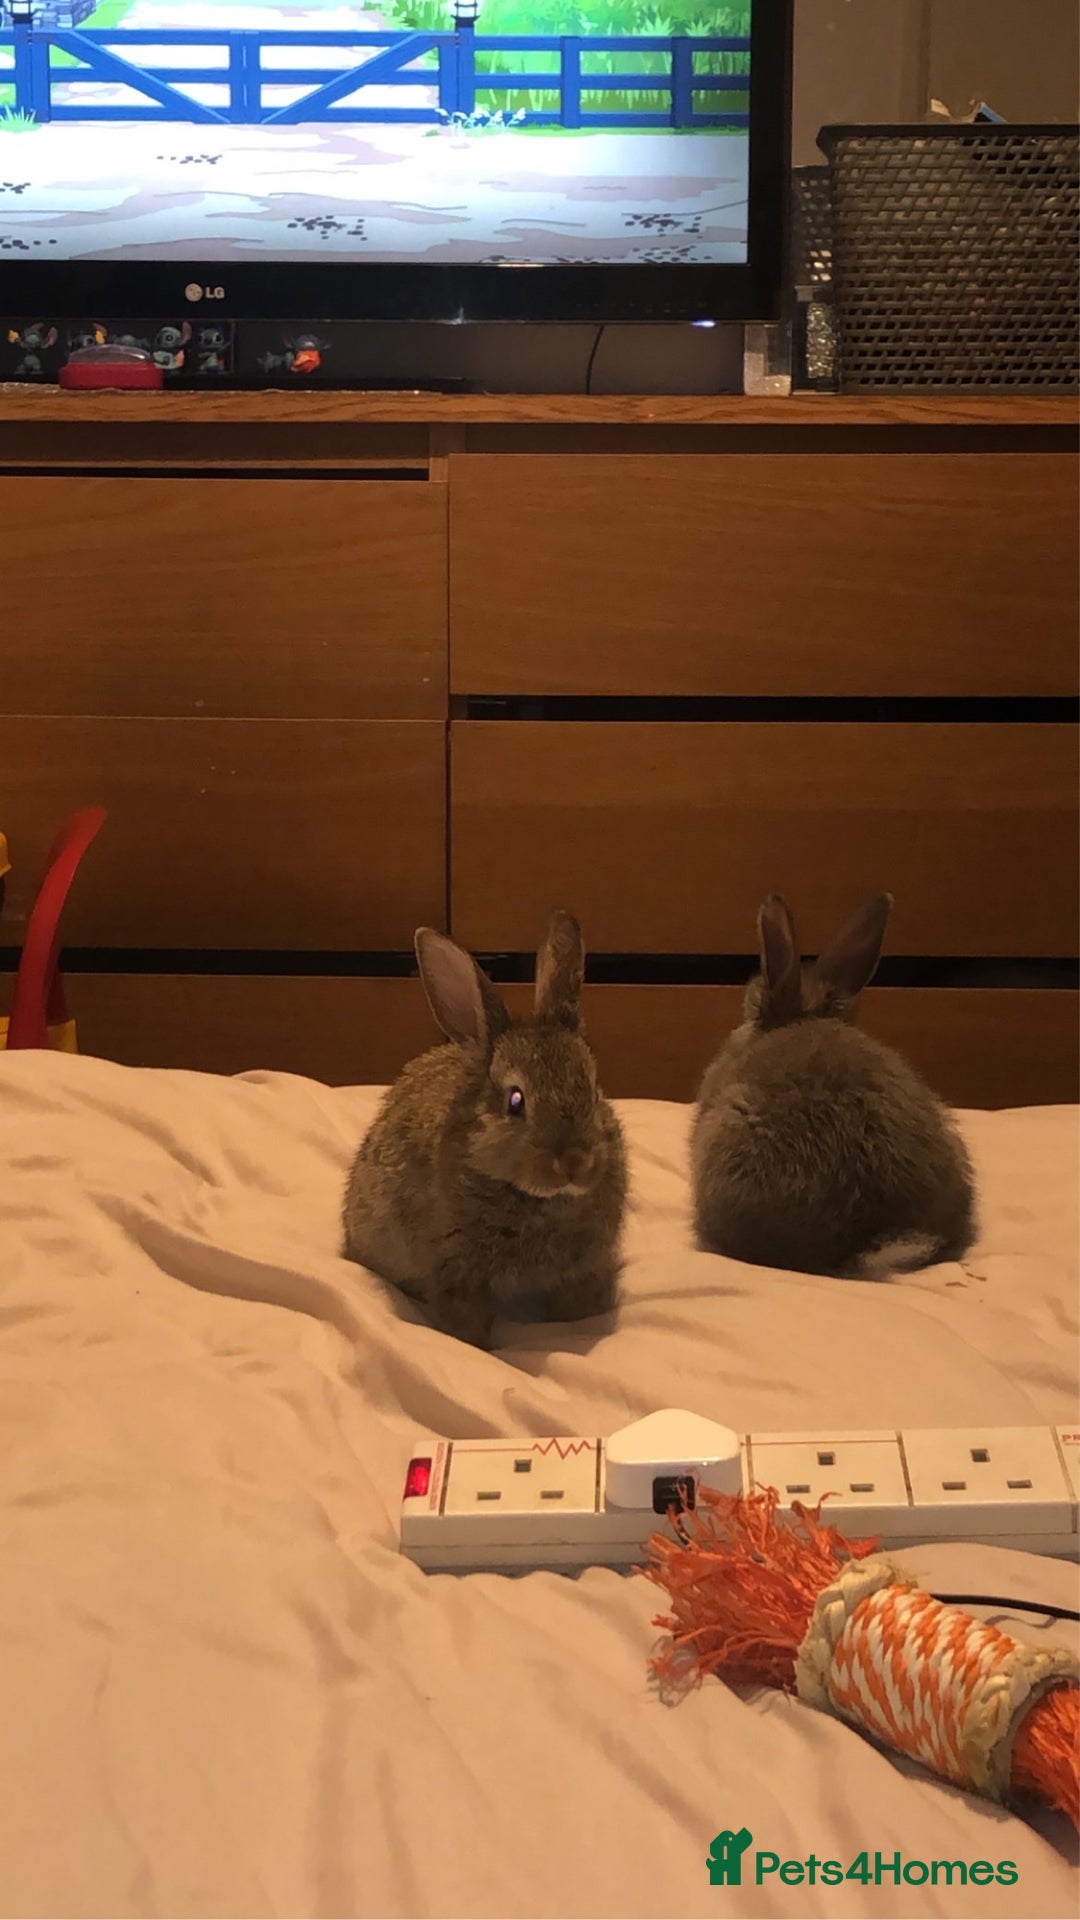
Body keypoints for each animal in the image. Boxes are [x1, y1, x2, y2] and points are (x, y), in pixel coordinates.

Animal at [342, 911, 628, 1349]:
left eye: (594, 1090)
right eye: (516, 1101)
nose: (574, 1162)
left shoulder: (586, 1266)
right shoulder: (455, 1271)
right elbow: (464, 1321)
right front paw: (477, 1347)